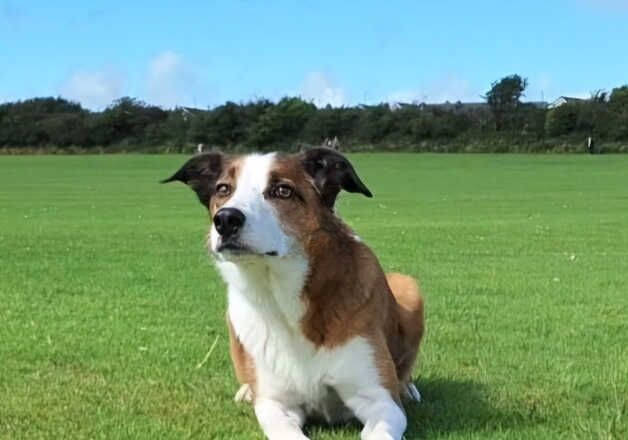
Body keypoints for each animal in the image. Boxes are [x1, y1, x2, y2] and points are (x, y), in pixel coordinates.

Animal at [164, 149, 424, 440]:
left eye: (283, 191)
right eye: (223, 189)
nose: (226, 219)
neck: (285, 301)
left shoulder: (381, 400)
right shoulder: (276, 404)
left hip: (409, 286)